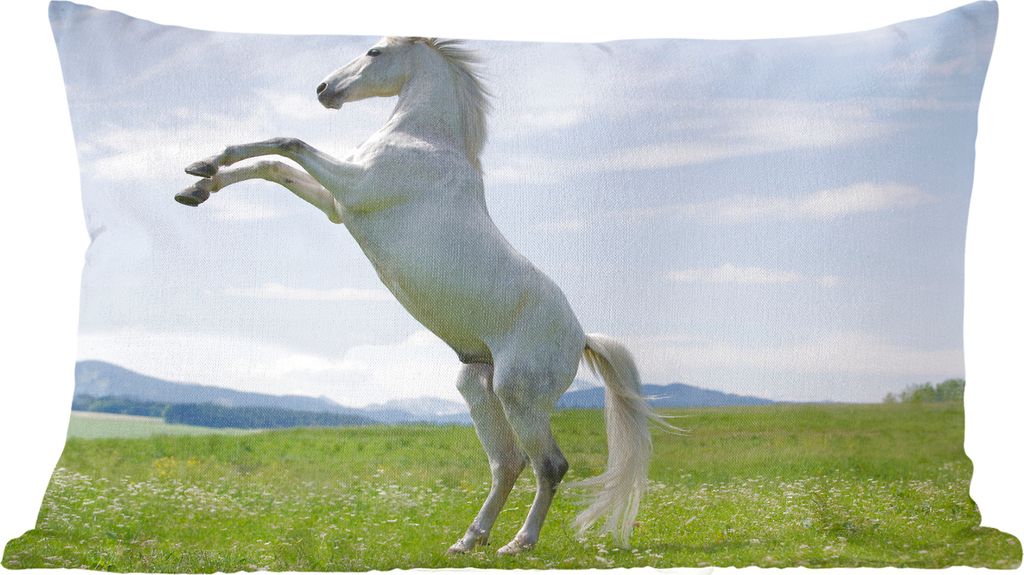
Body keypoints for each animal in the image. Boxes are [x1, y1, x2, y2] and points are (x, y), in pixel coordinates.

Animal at [175, 36, 673, 555]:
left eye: (374, 51)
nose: (324, 90)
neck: (424, 141)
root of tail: (581, 338)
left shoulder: (355, 185)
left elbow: (287, 144)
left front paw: (202, 170)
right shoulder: (337, 204)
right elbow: (273, 164)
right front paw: (198, 182)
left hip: (518, 395)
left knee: (549, 465)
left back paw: (519, 543)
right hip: (478, 387)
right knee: (508, 463)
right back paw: (468, 541)